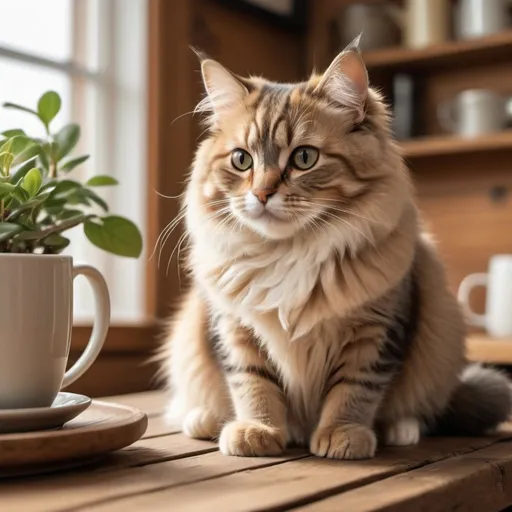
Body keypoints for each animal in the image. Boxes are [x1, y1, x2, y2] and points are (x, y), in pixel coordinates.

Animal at [161, 38, 512, 458]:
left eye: (304, 158)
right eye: (242, 160)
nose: (261, 194)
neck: (289, 252)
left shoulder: (375, 331)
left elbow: (354, 390)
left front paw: (342, 435)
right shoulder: (234, 327)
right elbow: (252, 384)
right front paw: (258, 431)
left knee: (421, 410)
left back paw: (401, 429)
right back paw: (203, 420)